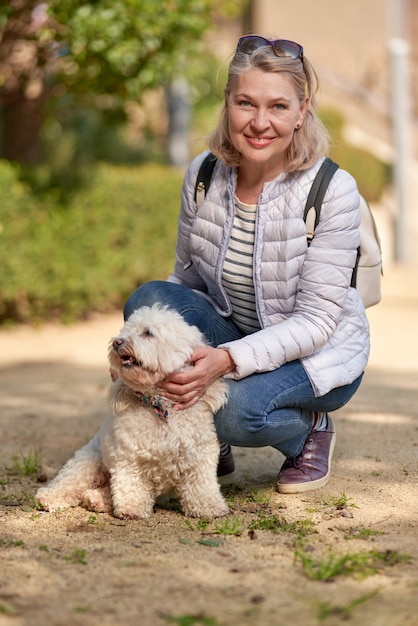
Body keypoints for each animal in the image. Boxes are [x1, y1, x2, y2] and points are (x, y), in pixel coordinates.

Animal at [36, 302, 229, 516]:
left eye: (148, 333)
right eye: (125, 331)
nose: (117, 342)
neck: (159, 405)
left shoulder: (201, 455)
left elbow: (201, 484)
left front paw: (209, 506)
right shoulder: (127, 456)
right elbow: (130, 483)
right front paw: (132, 507)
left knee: (104, 489)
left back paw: (96, 499)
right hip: (87, 463)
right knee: (70, 483)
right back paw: (49, 497)